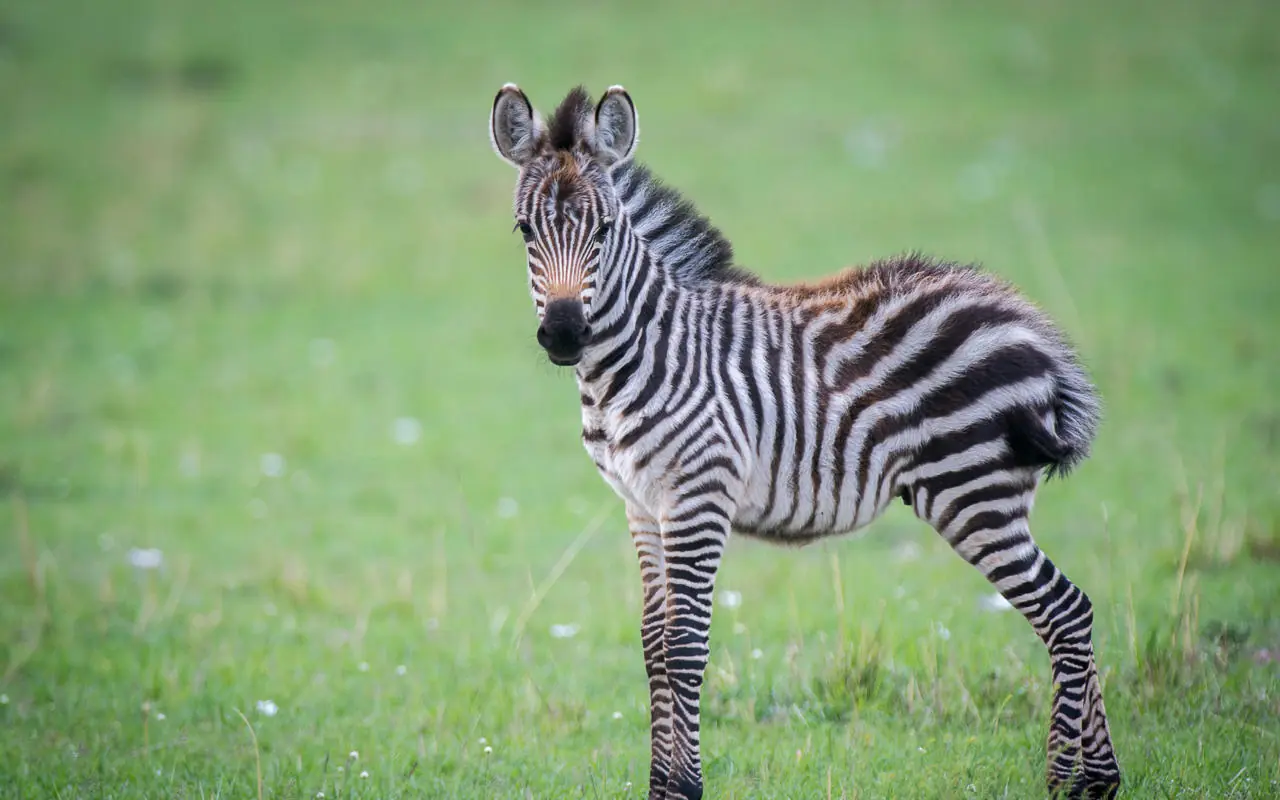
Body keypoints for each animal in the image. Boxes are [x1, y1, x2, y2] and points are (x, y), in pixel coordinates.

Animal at [488, 83, 1122, 800]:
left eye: (603, 231)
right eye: (526, 230)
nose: (566, 334)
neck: (646, 353)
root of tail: (1027, 323)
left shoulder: (699, 496)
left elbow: (685, 646)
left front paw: (685, 788)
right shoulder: (641, 503)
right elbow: (654, 645)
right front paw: (660, 787)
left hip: (972, 492)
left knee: (1065, 611)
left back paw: (1070, 780)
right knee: (1072, 613)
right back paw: (1099, 780)